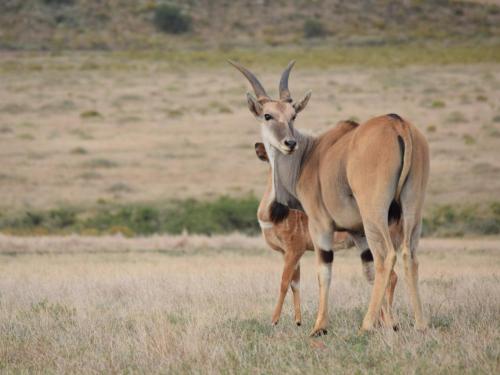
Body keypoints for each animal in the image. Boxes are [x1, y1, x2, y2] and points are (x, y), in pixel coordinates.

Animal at [230, 60, 430, 336]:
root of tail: (398, 124)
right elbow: (366, 270)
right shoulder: (356, 232)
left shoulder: (320, 226)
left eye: (293, 115)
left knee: (387, 257)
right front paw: (390, 324)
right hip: (412, 209)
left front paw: (319, 326)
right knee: (409, 257)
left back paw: (365, 326)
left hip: (374, 213)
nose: (289, 142)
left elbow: (322, 272)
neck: (308, 156)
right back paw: (420, 325)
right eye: (268, 115)